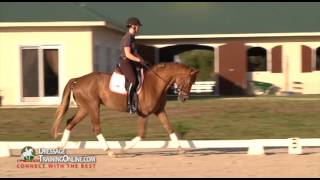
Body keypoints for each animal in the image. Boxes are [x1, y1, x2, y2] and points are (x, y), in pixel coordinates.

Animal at [52, 62, 198, 156]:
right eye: (189, 81)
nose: (184, 98)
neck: (155, 83)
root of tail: (78, 80)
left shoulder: (159, 111)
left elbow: (170, 129)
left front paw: (180, 149)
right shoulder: (144, 114)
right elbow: (141, 135)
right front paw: (124, 149)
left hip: (84, 109)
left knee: (69, 123)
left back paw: (60, 148)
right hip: (93, 106)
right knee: (96, 128)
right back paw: (109, 151)